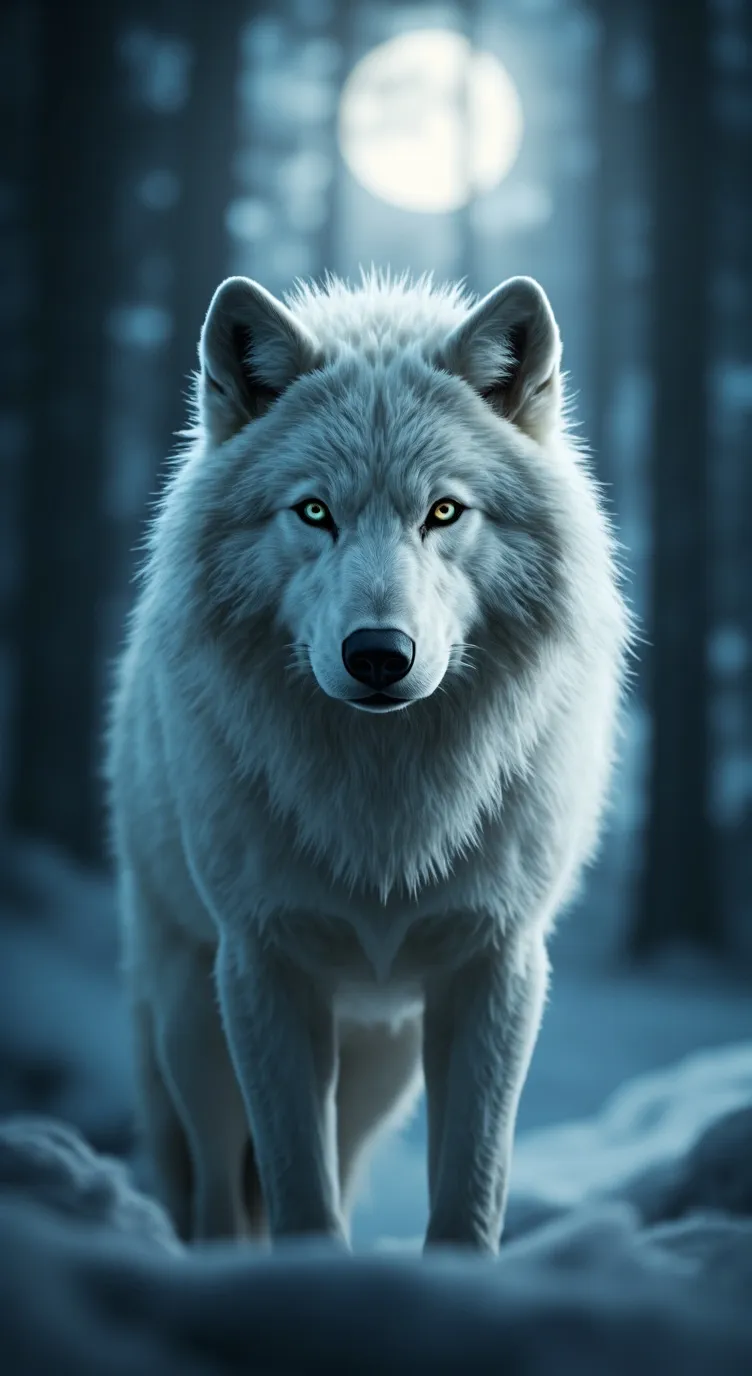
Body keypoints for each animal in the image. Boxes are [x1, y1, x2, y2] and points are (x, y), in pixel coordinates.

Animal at [106, 269, 630, 1254]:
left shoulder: (497, 966)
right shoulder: (262, 966)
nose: (380, 655)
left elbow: (468, 1193)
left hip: (380, 1070)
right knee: (216, 1198)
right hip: (191, 1019)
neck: (386, 805)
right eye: (315, 512)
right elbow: (299, 1198)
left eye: (443, 512)